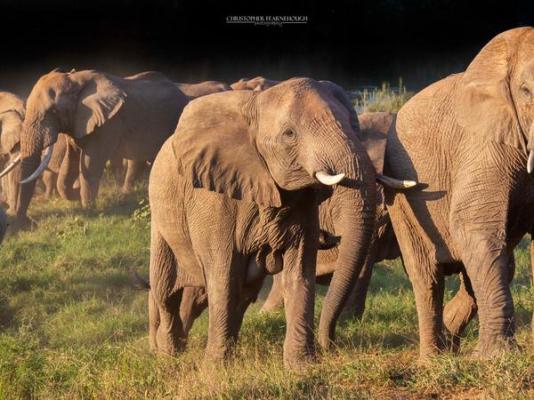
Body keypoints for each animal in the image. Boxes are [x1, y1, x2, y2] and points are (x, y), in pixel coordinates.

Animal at [9, 67, 189, 227]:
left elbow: (90, 165)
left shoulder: (107, 123)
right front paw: (78, 195)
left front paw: (89, 211)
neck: (75, 80)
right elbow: (70, 164)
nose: (28, 223)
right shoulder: (76, 123)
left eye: (53, 111)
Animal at [147, 76, 382, 368]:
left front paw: (301, 366)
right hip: (160, 217)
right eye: (289, 134)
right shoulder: (213, 200)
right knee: (165, 289)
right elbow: (223, 276)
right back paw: (170, 354)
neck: (255, 106)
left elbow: (298, 274)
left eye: (352, 124)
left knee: (244, 292)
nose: (332, 346)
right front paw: (214, 368)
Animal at [384, 27, 534, 360]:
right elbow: (472, 225)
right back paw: (432, 359)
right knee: (426, 274)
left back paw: (450, 343)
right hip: (401, 197)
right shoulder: (482, 142)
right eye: (526, 92)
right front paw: (496, 357)